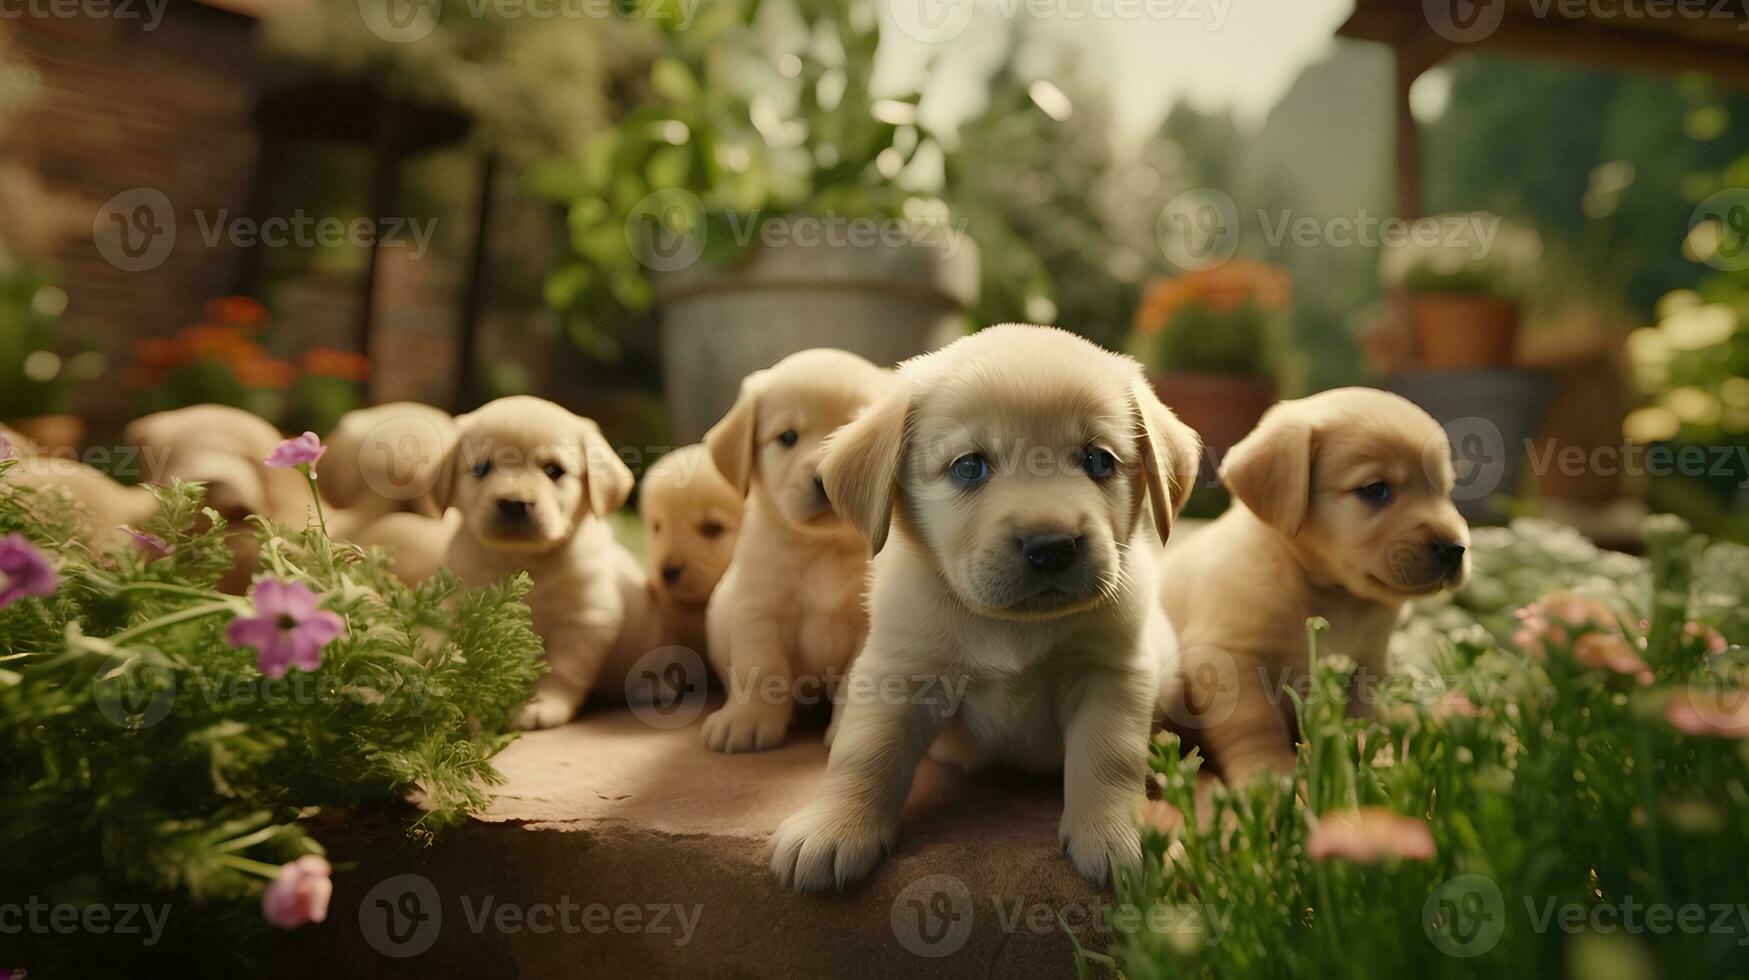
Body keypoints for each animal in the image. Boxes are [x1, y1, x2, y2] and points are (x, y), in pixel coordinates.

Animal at [433, 395, 657, 728]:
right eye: (482, 468)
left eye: (554, 470)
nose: (514, 504)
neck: (525, 559)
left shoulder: (585, 620)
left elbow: (563, 670)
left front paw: (543, 705)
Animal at [699, 348, 895, 752]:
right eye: (787, 437)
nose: (823, 478)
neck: (824, 549)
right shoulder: (758, 610)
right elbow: (762, 671)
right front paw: (748, 719)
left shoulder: (868, 624)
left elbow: (856, 681)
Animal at [769, 325, 1203, 892]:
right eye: (969, 466)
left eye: (1099, 460)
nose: (1051, 547)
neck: (1012, 626)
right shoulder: (899, 671)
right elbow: (866, 751)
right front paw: (835, 825)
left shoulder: (1112, 672)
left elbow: (1108, 758)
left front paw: (1116, 834)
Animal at [1168, 386, 1469, 784]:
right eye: (1375, 490)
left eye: (1445, 490)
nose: (1456, 548)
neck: (1326, 590)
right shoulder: (1229, 657)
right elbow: (1254, 722)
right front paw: (1268, 773)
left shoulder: (1366, 664)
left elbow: (1363, 721)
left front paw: (1376, 761)